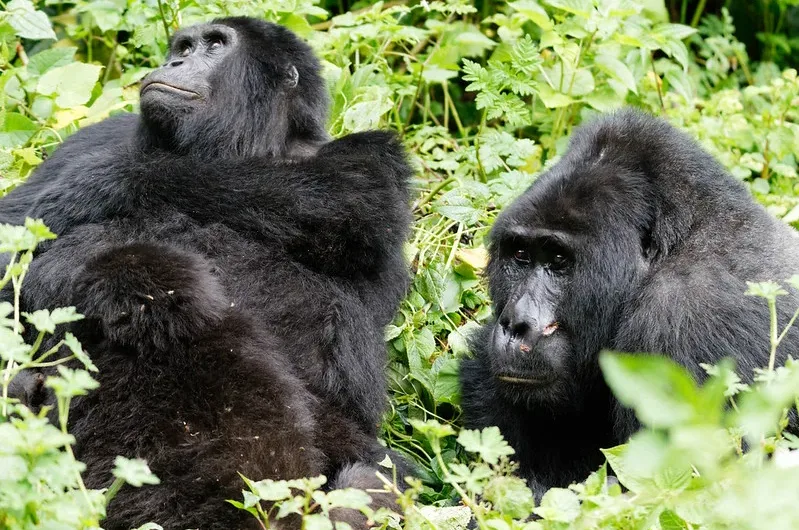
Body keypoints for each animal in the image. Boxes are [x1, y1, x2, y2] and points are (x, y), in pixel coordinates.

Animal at [0, 16, 412, 528]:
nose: (175, 63)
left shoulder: (371, 163)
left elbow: (353, 195)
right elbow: (11, 244)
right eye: (183, 47)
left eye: (215, 46)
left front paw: (106, 181)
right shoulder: (91, 137)